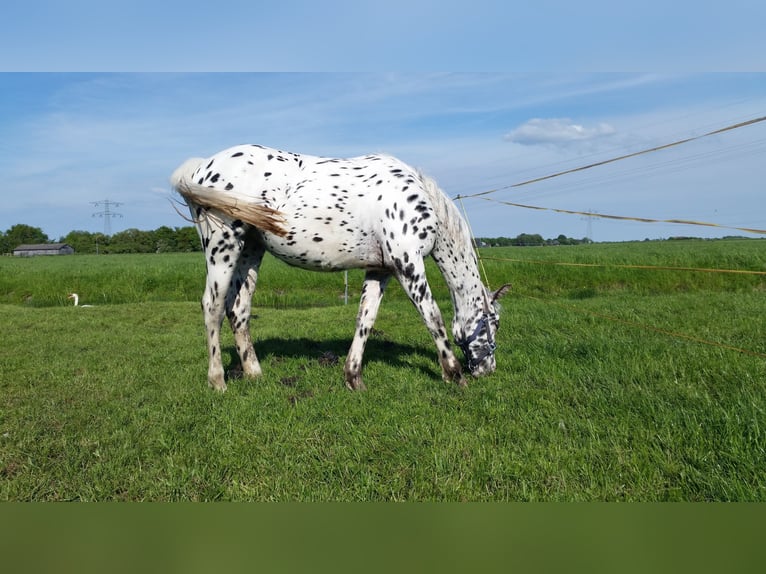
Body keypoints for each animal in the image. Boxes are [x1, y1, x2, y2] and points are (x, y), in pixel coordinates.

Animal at [171, 144, 510, 392]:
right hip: (223, 246)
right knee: (213, 307)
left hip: (251, 250)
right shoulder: (407, 264)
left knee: (239, 309)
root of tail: (202, 166)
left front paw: (353, 378)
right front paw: (454, 375)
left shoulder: (380, 270)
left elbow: (365, 320)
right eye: (492, 322)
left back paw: (255, 373)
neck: (417, 197)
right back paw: (218, 382)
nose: (487, 370)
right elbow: (432, 316)